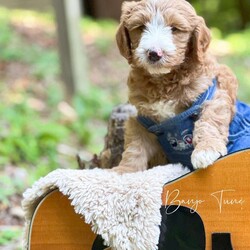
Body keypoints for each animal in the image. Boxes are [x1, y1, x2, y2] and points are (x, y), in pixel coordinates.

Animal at [113, 0, 250, 173]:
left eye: (175, 29)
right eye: (141, 27)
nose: (154, 53)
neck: (163, 80)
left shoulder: (215, 94)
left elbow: (210, 120)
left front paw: (206, 149)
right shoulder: (140, 117)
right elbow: (135, 145)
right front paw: (125, 170)